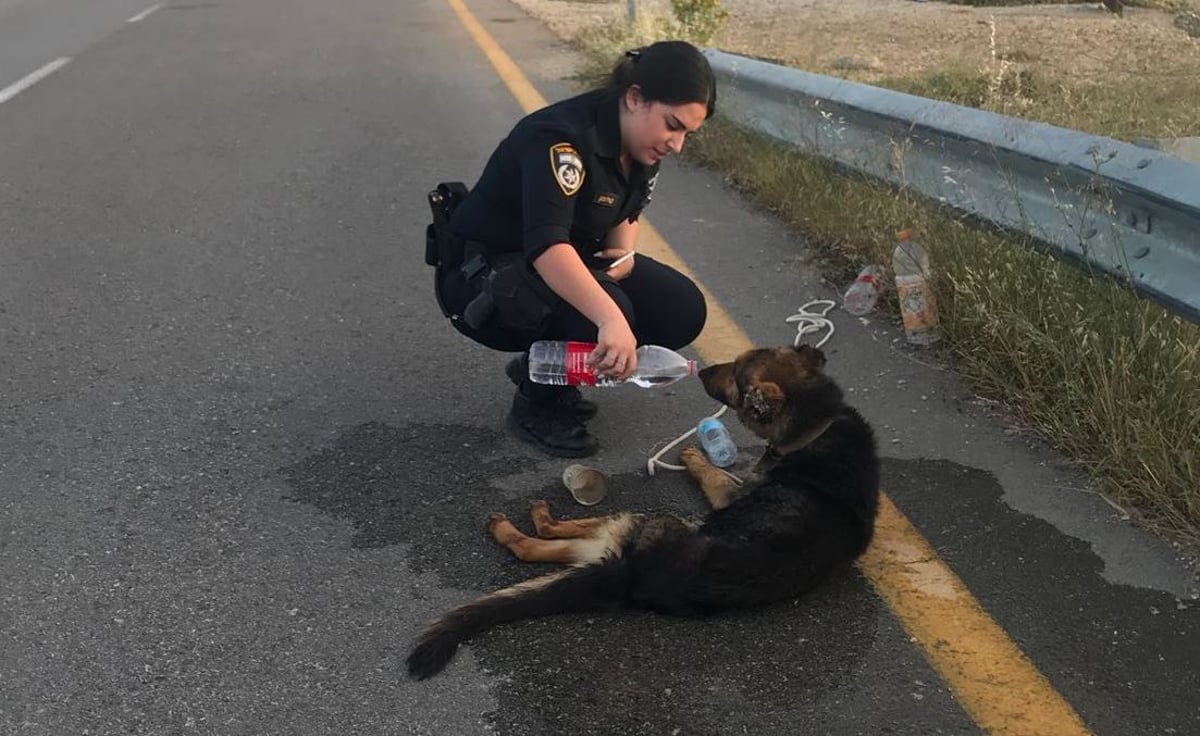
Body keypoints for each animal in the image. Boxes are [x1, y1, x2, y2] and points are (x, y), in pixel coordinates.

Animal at [408, 343, 878, 677]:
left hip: (644, 518)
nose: (701, 370)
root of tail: (632, 575)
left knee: (541, 542)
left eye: (737, 373)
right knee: (545, 549)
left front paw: (694, 455)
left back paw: (526, 521)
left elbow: (713, 475)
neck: (819, 423)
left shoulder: (728, 495)